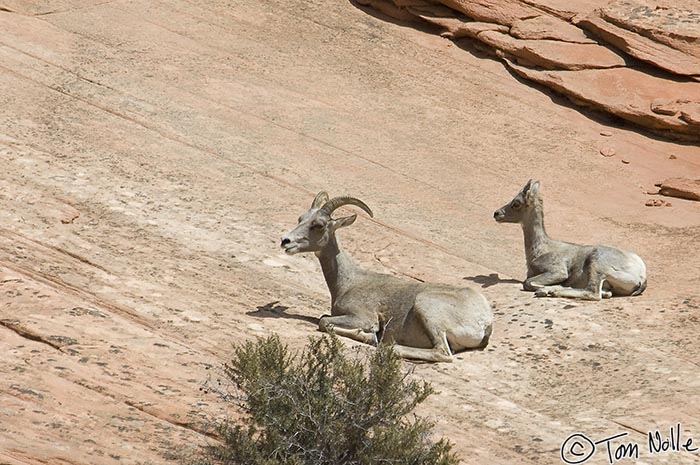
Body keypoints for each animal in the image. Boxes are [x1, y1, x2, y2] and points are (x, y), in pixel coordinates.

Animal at [278, 192, 492, 362]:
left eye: (319, 225)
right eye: (301, 218)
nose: (285, 241)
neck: (349, 282)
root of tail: (485, 322)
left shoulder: (362, 317)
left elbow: (324, 322)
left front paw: (370, 336)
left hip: (427, 307)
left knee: (442, 353)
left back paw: (387, 345)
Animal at [492, 179, 644, 300]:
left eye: (516, 203)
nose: (496, 213)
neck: (540, 250)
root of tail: (642, 276)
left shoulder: (558, 271)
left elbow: (527, 283)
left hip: (597, 264)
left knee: (593, 293)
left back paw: (550, 291)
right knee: (605, 293)